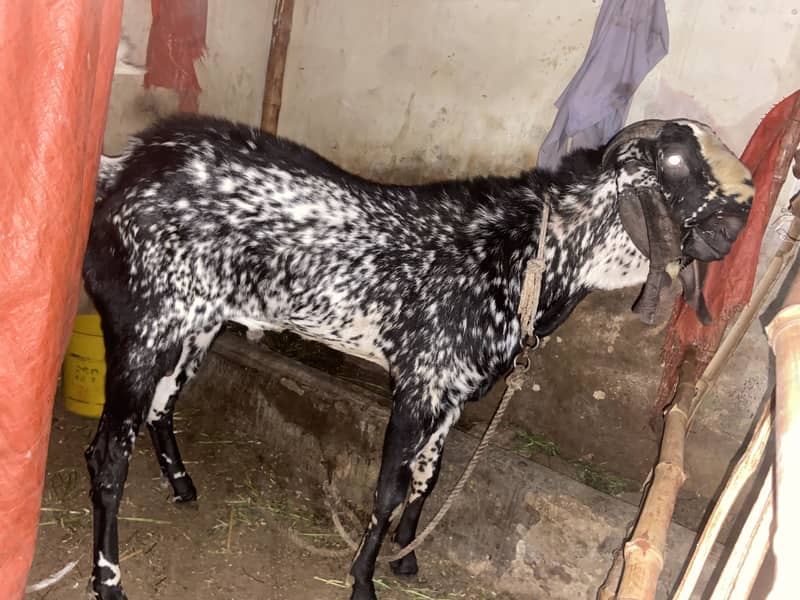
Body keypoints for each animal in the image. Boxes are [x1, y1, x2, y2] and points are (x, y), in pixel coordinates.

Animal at [81, 115, 753, 600]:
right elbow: (388, 488)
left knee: (161, 408)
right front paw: (363, 581)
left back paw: (183, 487)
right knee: (108, 452)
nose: (734, 228)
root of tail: (123, 167)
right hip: (145, 324)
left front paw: (407, 557)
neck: (518, 254)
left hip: (196, 326)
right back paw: (109, 582)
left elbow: (430, 478)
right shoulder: (420, 385)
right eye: (676, 163)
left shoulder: (452, 392)